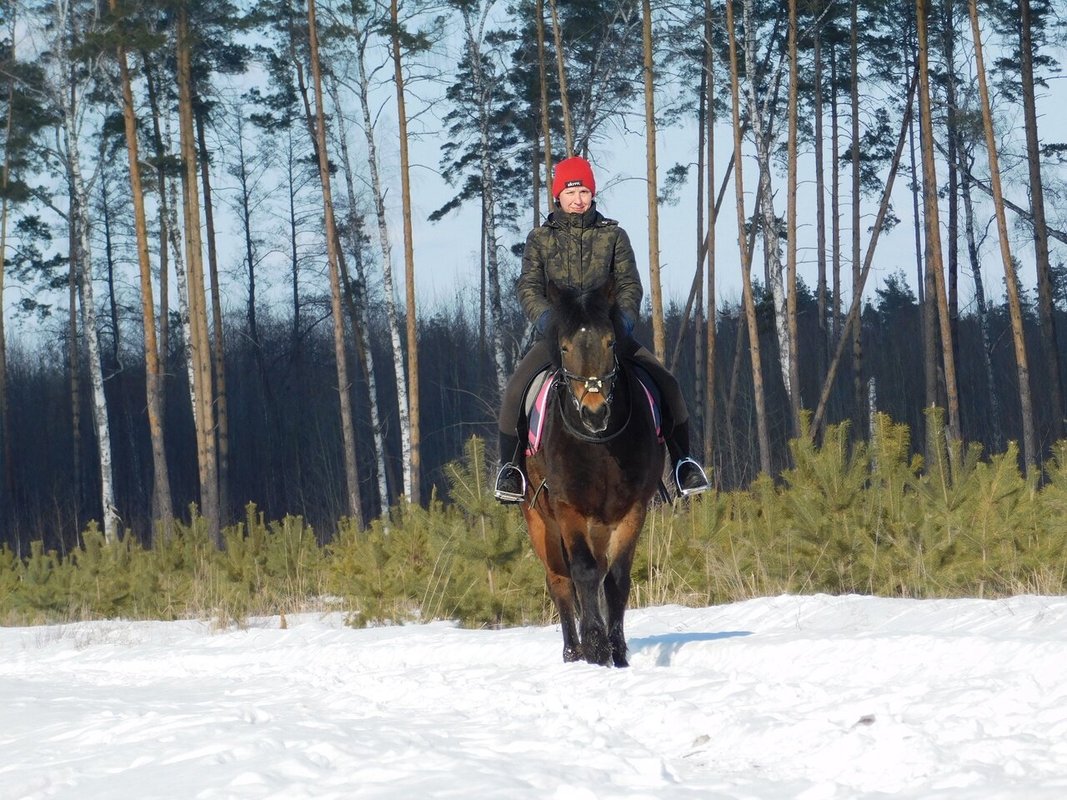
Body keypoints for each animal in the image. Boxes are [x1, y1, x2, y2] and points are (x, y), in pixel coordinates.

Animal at [520, 279, 661, 665]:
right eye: (565, 347)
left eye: (611, 341)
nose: (594, 412)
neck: (598, 445)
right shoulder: (569, 508)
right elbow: (582, 573)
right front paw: (595, 647)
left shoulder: (632, 510)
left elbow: (615, 579)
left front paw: (617, 652)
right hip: (540, 522)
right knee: (560, 580)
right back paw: (573, 651)